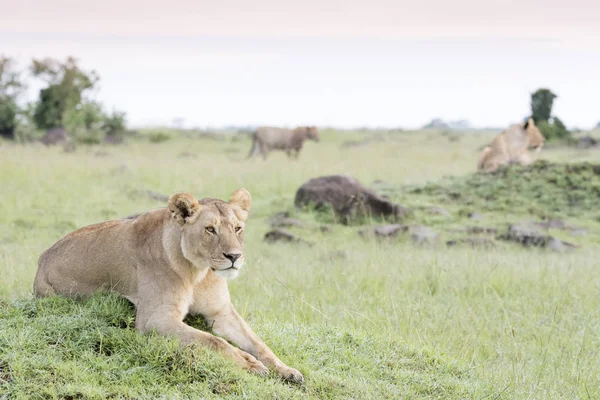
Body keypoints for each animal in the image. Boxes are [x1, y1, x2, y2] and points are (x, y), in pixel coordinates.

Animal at [32, 191, 302, 384]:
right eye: (210, 229)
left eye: (237, 228)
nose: (234, 256)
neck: (199, 271)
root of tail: (42, 258)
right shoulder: (155, 319)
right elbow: (213, 341)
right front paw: (250, 364)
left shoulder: (222, 313)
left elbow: (259, 343)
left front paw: (287, 369)